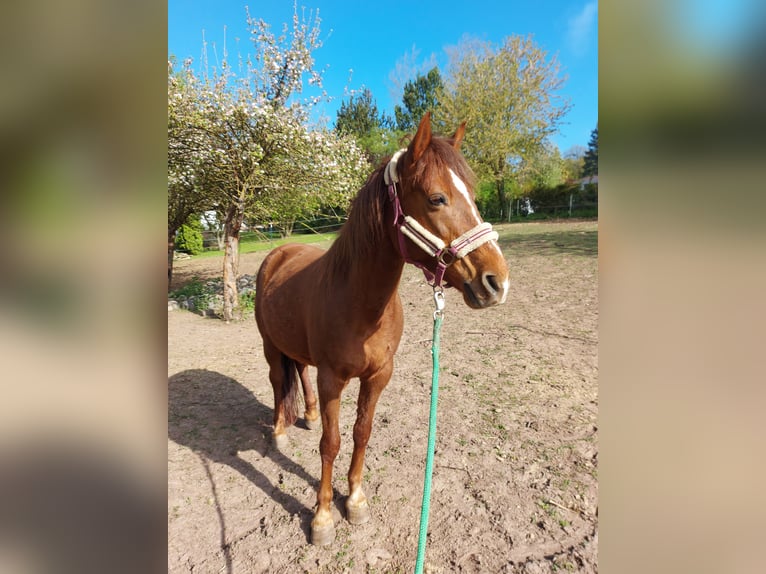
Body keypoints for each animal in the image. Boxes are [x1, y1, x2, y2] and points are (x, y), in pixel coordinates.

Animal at [254, 113, 509, 546]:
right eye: (437, 198)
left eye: (473, 196)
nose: (497, 282)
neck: (360, 303)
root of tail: (279, 253)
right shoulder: (332, 379)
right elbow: (331, 443)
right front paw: (322, 517)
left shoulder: (378, 376)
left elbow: (362, 433)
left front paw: (355, 500)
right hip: (270, 346)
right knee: (276, 380)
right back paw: (280, 432)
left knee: (299, 371)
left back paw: (308, 415)